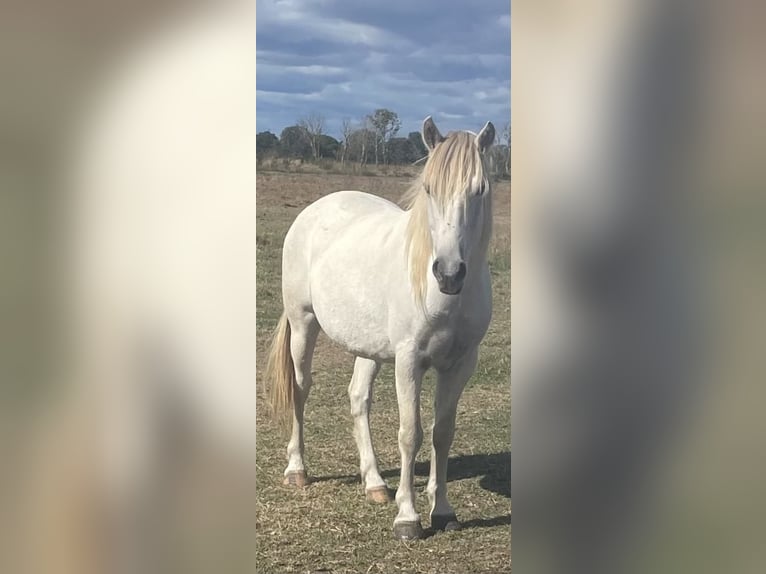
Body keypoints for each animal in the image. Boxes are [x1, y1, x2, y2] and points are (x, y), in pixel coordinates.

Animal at [268, 116, 500, 540]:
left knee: (358, 398)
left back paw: (374, 482)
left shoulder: (461, 364)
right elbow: (411, 433)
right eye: (429, 188)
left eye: (480, 189)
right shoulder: (409, 361)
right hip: (303, 323)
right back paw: (297, 470)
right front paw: (407, 518)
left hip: (368, 347)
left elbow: (443, 433)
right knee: (300, 388)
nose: (448, 273)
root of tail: (316, 209)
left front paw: (442, 511)